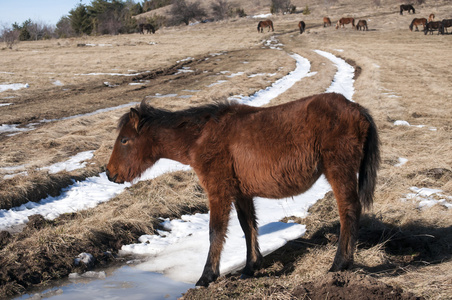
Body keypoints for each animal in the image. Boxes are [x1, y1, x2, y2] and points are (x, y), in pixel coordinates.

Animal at [107, 92, 382, 288]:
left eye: (124, 140)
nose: (110, 174)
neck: (200, 137)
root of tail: (356, 109)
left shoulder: (218, 191)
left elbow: (216, 232)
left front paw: (207, 276)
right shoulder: (241, 193)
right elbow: (248, 226)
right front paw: (251, 267)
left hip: (339, 171)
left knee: (348, 211)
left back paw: (339, 264)